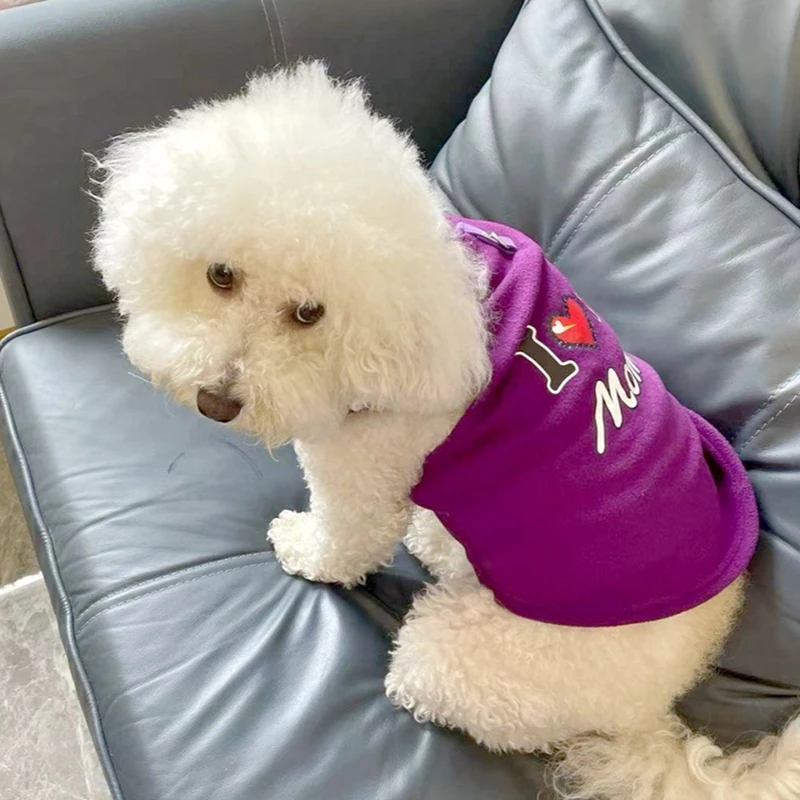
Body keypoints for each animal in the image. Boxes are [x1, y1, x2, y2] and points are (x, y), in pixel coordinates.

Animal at [91, 63, 800, 800]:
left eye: (310, 313)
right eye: (220, 275)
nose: (216, 403)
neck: (444, 304)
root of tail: (654, 717)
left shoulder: (362, 468)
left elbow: (344, 537)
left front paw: (302, 547)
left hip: (473, 656)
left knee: (433, 680)